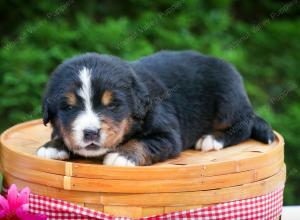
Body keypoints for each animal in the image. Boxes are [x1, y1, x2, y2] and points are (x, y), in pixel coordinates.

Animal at [36, 50, 276, 167]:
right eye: (68, 107)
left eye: (112, 105)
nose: (91, 133)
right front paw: (53, 145)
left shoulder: (168, 135)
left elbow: (143, 142)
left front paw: (123, 155)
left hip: (227, 101)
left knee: (243, 125)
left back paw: (212, 139)